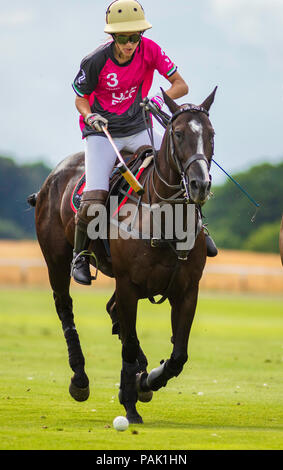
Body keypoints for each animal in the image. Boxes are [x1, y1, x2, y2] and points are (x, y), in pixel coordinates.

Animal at [29, 88, 217, 422]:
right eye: (178, 133)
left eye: (211, 134)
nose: (200, 185)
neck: (164, 219)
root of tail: (52, 176)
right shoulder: (129, 285)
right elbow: (128, 344)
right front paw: (130, 405)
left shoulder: (186, 290)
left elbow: (178, 355)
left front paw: (146, 381)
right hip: (56, 261)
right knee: (65, 307)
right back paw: (80, 378)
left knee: (112, 310)